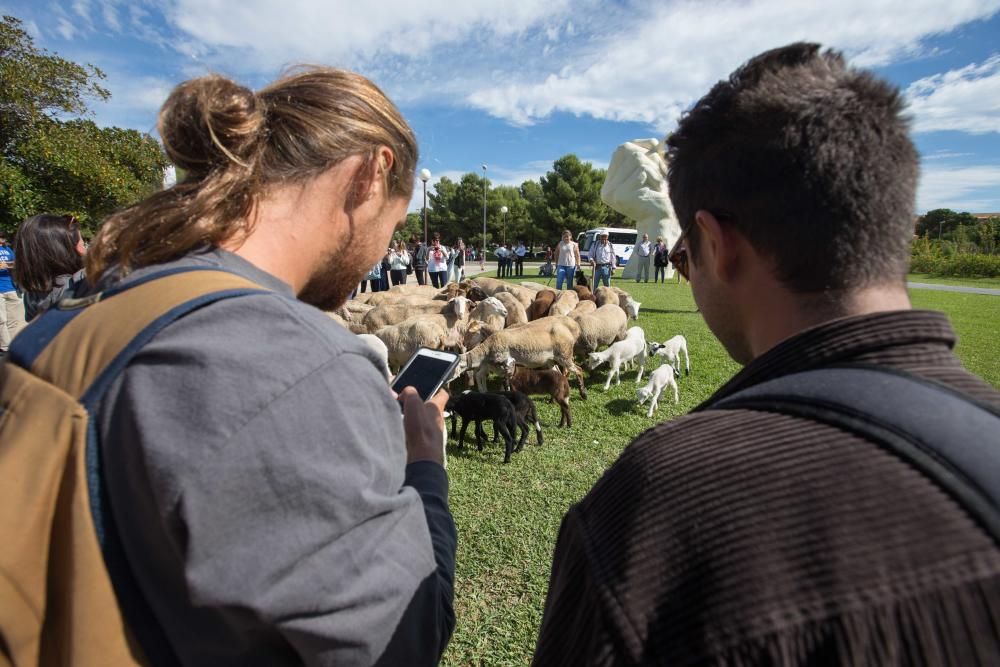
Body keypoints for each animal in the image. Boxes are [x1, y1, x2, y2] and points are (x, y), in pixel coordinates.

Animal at [458, 316, 588, 400]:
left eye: (470, 332)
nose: (464, 344)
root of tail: (575, 327)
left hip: (564, 355)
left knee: (578, 370)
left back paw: (583, 394)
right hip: (551, 360)